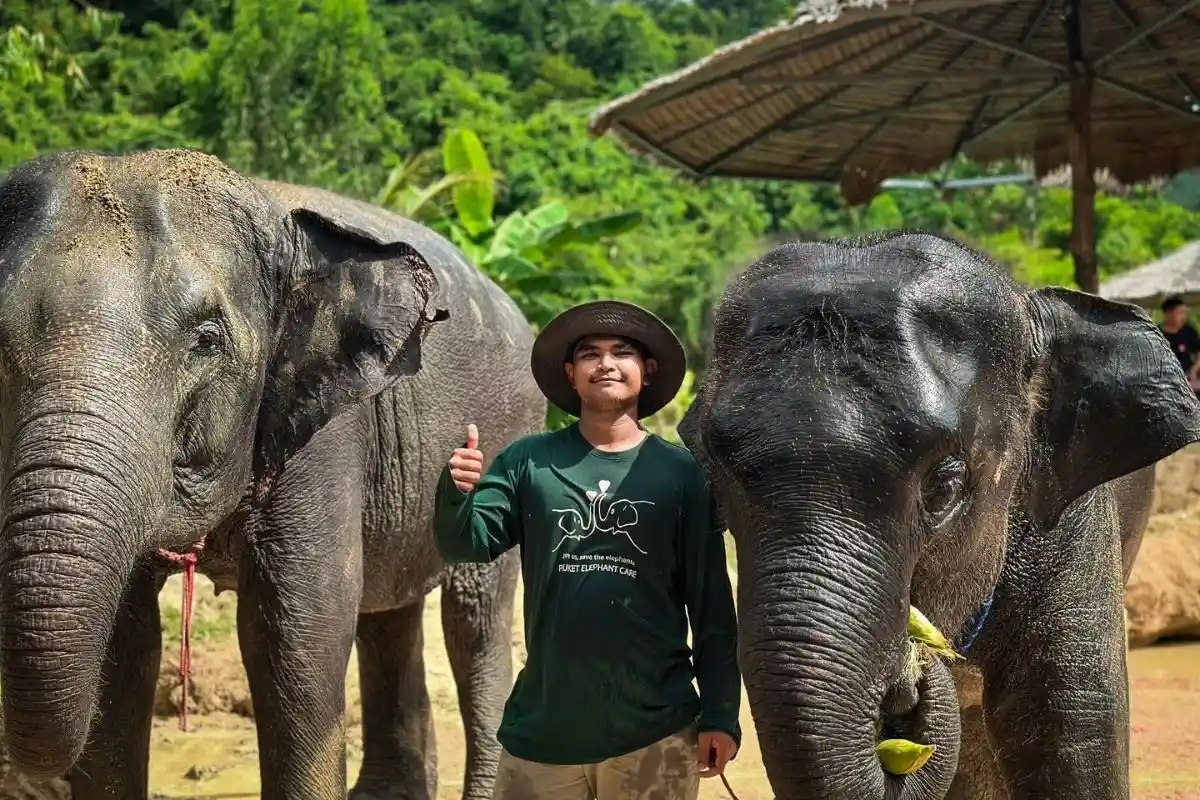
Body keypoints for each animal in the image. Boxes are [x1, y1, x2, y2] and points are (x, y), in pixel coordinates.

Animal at [0, 148, 545, 800]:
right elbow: (124, 647)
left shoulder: (326, 432)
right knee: (389, 613)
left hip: (509, 432)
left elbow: (297, 633)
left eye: (206, 340)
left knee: (473, 620)